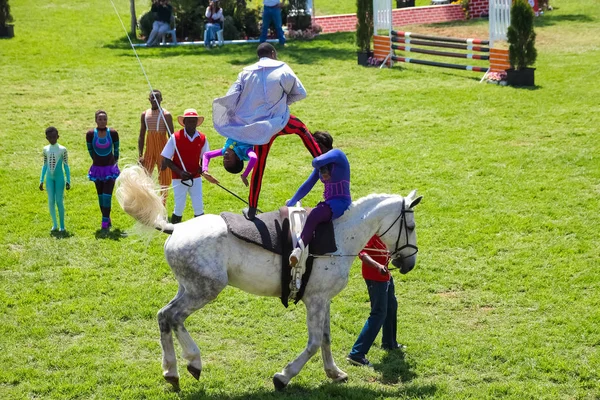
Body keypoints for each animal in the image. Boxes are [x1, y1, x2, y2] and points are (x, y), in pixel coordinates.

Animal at [116, 166, 422, 390]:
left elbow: (325, 338)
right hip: (205, 290)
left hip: (188, 287)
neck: (340, 235)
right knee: (174, 317)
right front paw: (283, 376)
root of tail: (175, 228)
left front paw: (334, 373)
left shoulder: (322, 299)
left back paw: (172, 370)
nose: (409, 263)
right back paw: (193, 362)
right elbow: (314, 342)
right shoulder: (315, 300)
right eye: (410, 225)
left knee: (163, 316)